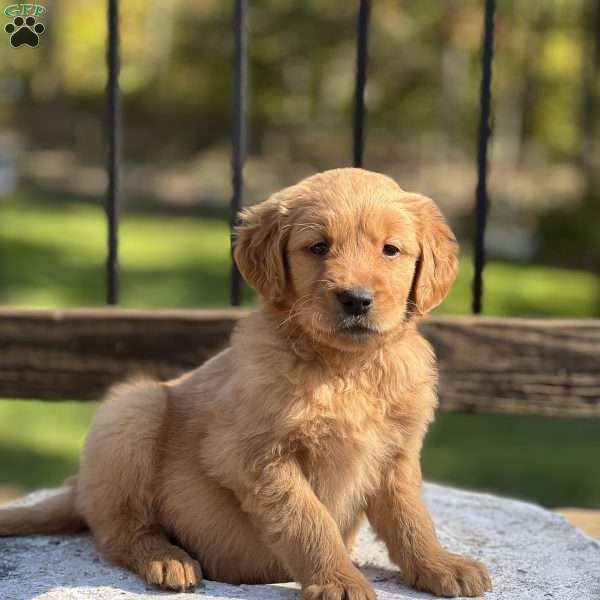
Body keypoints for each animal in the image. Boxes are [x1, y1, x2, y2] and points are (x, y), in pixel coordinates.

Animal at [0, 166, 490, 596]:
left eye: (390, 250)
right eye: (318, 247)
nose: (356, 299)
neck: (346, 368)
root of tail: (78, 488)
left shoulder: (397, 454)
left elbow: (411, 518)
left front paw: (439, 565)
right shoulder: (255, 455)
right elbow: (308, 520)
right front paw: (338, 580)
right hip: (133, 411)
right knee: (119, 531)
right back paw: (167, 558)